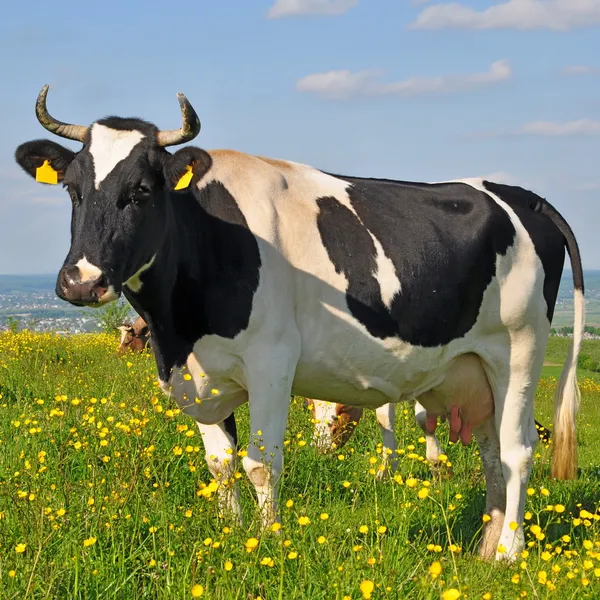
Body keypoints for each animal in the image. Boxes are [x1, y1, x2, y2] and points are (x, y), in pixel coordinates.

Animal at [16, 85, 584, 564]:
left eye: (140, 191)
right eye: (73, 190)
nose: (81, 282)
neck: (178, 328)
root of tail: (520, 194)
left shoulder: (272, 361)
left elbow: (260, 462)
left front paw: (266, 543)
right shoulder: (200, 374)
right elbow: (220, 465)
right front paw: (230, 535)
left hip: (519, 351)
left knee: (517, 451)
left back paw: (509, 552)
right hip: (474, 370)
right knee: (492, 454)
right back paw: (485, 548)